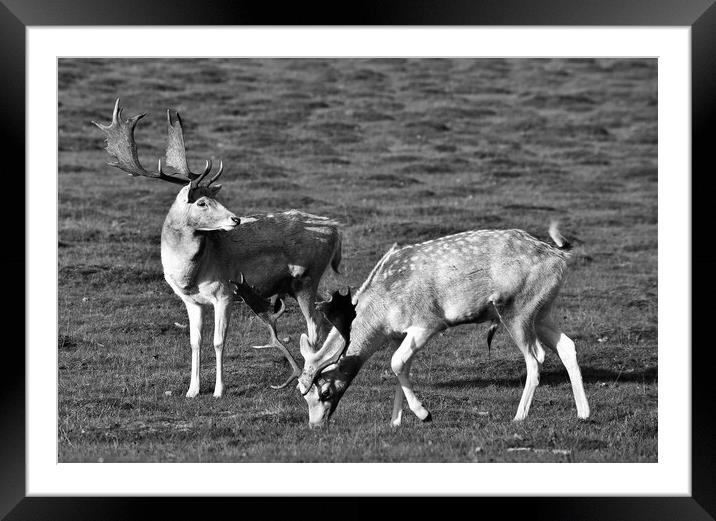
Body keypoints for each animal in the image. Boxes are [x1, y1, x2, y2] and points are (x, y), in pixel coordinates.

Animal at [92, 97, 342, 396]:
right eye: (202, 202)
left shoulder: (225, 292)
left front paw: (219, 390)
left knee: (315, 326)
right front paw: (192, 390)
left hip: (306, 279)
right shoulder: (191, 301)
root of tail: (335, 229)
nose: (235, 219)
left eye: (214, 197)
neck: (190, 275)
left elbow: (219, 341)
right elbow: (195, 341)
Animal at [286, 223, 592, 426]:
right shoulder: (401, 334)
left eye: (325, 391)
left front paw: (424, 414)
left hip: (516, 310)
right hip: (542, 311)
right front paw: (396, 422)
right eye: (302, 396)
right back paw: (583, 413)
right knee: (567, 345)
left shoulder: (427, 322)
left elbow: (396, 363)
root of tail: (559, 256)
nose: (316, 424)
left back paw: (519, 416)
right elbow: (402, 366)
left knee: (535, 356)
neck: (381, 316)